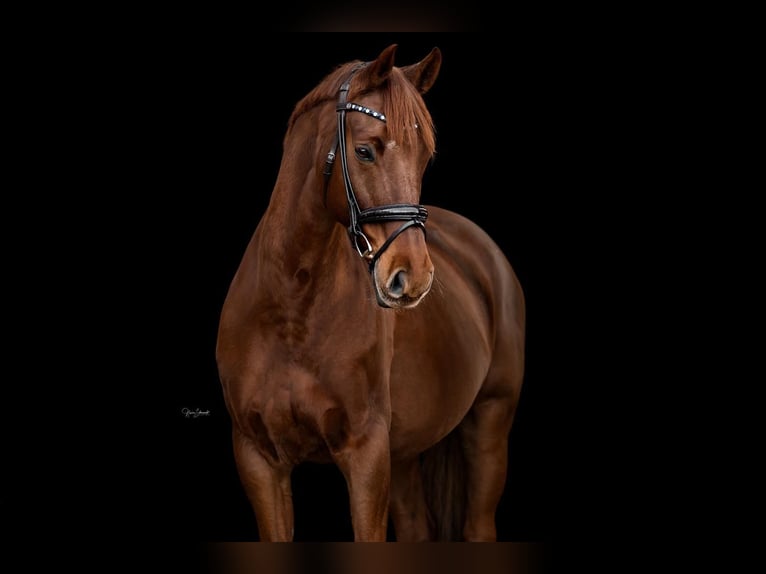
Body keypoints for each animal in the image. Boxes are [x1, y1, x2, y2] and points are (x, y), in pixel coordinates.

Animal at [216, 44, 525, 542]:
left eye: (424, 157)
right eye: (364, 151)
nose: (412, 277)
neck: (290, 311)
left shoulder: (366, 455)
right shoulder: (259, 459)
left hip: (490, 425)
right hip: (405, 454)